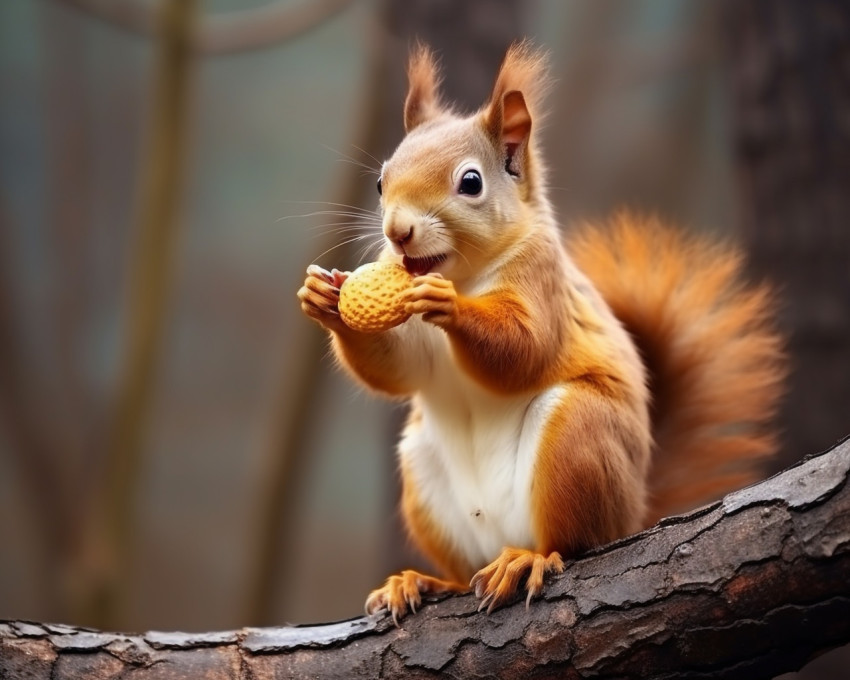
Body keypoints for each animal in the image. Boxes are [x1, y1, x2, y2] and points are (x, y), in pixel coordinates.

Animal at [294, 41, 784, 620]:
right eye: (379, 180)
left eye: (471, 183)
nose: (397, 231)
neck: (463, 272)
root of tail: (633, 512)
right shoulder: (416, 345)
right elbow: (398, 370)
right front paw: (324, 298)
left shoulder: (543, 283)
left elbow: (523, 349)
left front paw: (449, 304)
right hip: (425, 473)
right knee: (463, 570)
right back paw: (423, 582)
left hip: (579, 441)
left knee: (570, 544)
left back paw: (527, 560)